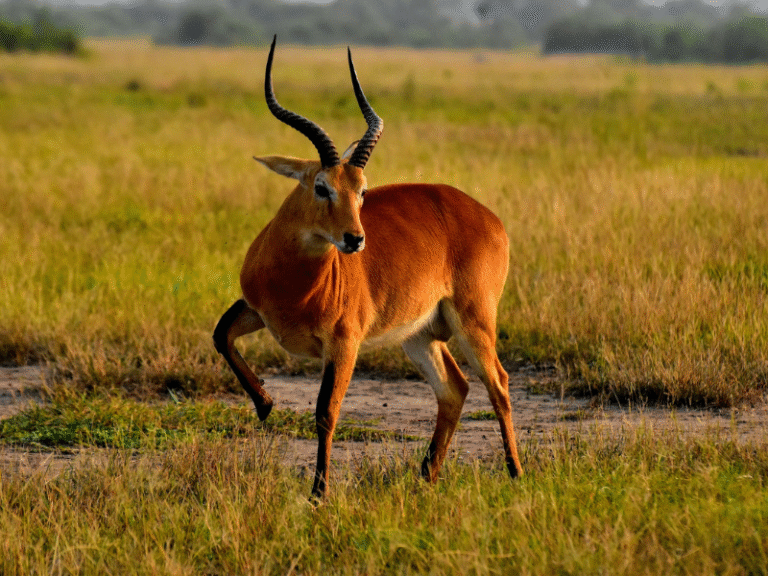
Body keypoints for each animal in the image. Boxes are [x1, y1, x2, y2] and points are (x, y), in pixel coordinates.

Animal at [214, 37, 523, 497]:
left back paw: (516, 472)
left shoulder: (343, 344)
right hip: (419, 334)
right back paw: (426, 476)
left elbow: (326, 412)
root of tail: (488, 216)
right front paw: (265, 404)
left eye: (362, 191)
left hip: (474, 320)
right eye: (321, 186)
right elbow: (221, 335)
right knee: (455, 387)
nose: (355, 239)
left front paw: (318, 493)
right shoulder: (256, 309)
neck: (295, 281)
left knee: (498, 383)